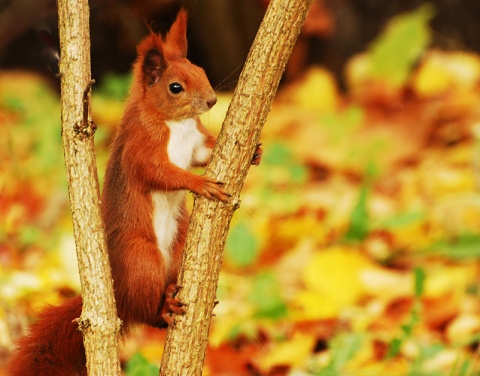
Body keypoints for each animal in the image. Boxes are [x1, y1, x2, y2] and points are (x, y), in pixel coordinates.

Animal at [8, 9, 262, 376]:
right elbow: (162, 174)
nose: (212, 100)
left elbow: (204, 154)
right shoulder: (142, 150)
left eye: (200, 70)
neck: (176, 124)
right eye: (175, 87)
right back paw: (164, 308)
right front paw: (200, 184)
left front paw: (255, 152)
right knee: (144, 313)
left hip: (177, 246)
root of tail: (119, 295)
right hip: (141, 260)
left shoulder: (195, 144)